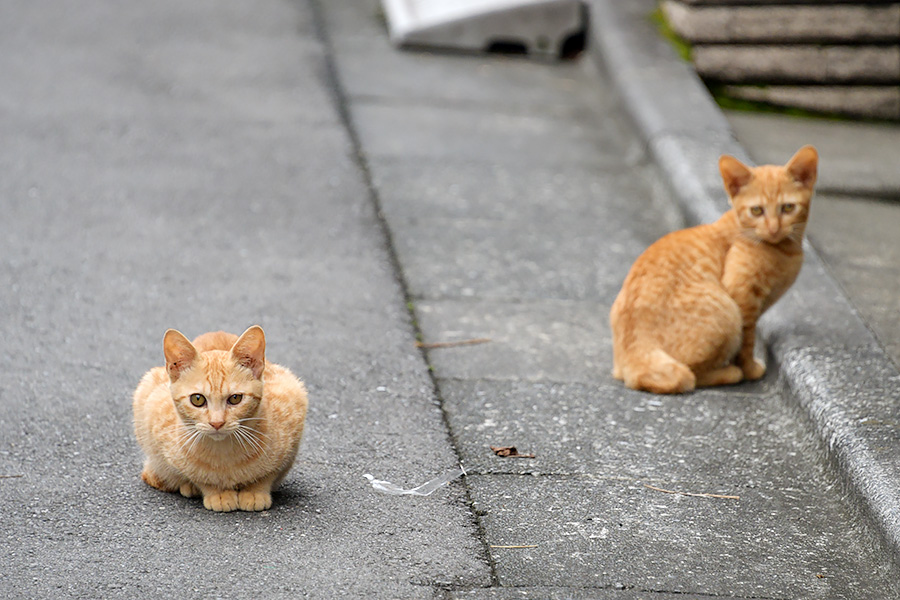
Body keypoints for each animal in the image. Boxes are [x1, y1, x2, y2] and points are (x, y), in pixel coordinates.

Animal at [133, 326, 310, 508]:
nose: (217, 422)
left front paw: (255, 491)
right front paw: (217, 492)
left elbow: (268, 473)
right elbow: (199, 476)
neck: (224, 455)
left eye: (235, 398)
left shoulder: (293, 403)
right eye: (197, 399)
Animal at [612, 143, 816, 392]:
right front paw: (750, 369)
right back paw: (729, 373)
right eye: (757, 211)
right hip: (727, 312)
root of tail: (636, 351)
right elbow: (747, 342)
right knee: (692, 374)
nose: (773, 228)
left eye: (787, 208)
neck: (784, 250)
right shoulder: (742, 296)